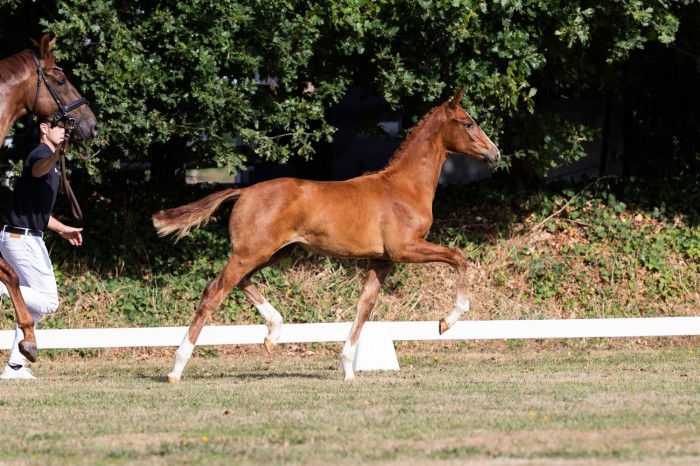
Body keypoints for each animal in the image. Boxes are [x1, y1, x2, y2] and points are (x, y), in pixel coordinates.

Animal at [153, 89, 500, 382]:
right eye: (468, 123)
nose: (495, 154)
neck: (403, 187)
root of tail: (244, 191)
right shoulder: (406, 249)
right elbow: (458, 257)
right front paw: (446, 321)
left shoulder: (382, 260)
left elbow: (364, 307)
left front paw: (348, 369)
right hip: (251, 252)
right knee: (215, 291)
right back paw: (177, 369)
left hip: (275, 252)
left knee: (241, 282)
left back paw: (273, 334)